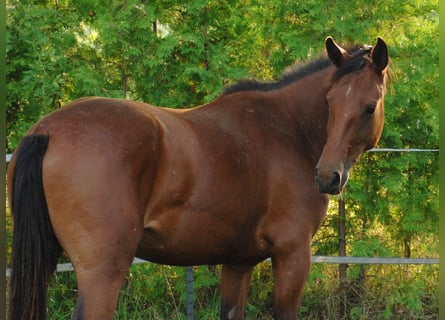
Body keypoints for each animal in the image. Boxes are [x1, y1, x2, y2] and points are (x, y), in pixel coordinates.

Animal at [7, 36, 388, 318]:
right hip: (102, 273)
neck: (287, 130)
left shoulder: (237, 263)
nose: (327, 176)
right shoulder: (293, 256)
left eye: (368, 107)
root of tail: (46, 130)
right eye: (330, 102)